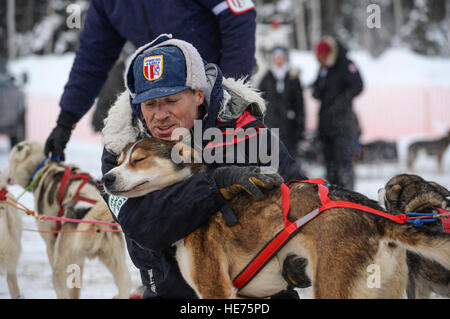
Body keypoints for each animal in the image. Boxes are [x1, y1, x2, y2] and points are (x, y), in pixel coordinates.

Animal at [6, 142, 131, 300]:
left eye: (10, 160)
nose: (4, 174)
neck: (43, 168)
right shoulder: (79, 261)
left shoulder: (51, 242)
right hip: (117, 264)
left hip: (61, 264)